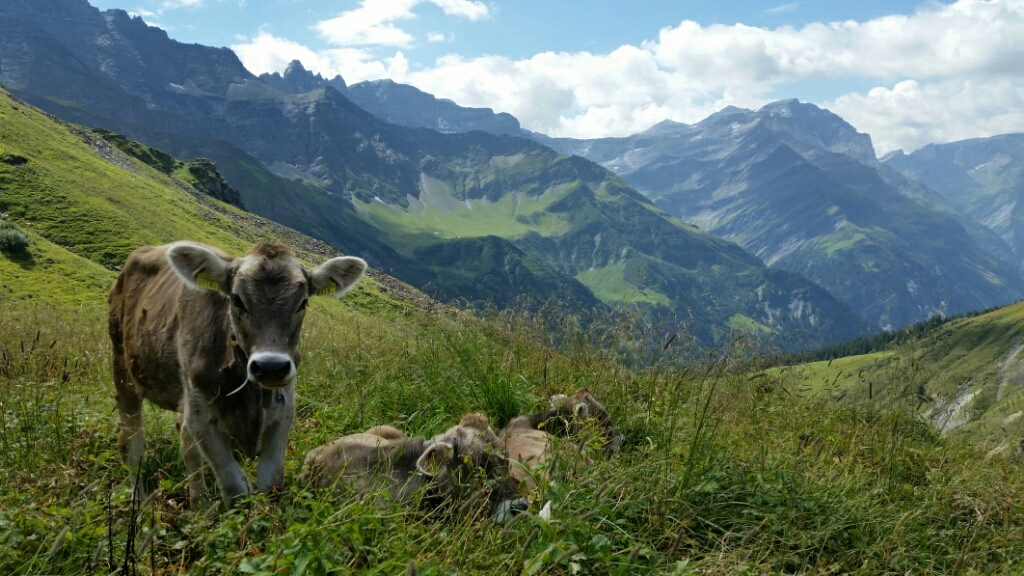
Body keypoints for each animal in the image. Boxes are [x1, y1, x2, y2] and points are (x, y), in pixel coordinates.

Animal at [108, 241, 366, 506]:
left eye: (303, 302)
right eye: (237, 299)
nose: (271, 366)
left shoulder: (285, 408)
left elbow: (272, 481)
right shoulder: (201, 414)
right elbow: (235, 489)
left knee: (186, 444)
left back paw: (199, 504)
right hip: (123, 367)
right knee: (131, 443)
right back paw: (140, 503)